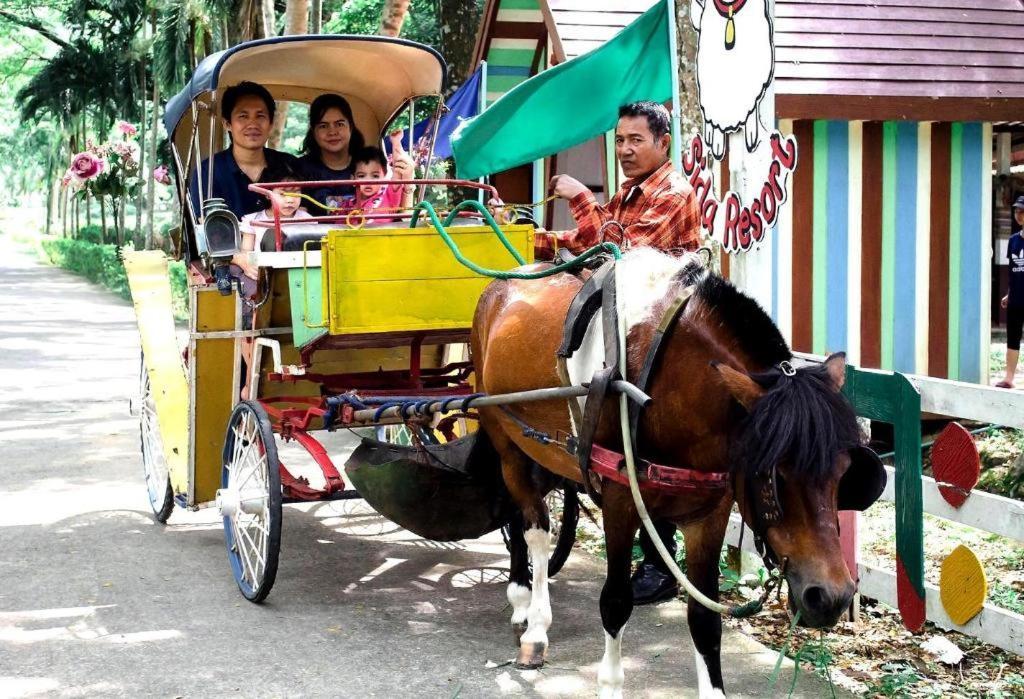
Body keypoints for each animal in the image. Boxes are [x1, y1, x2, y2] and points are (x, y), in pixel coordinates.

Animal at [468, 248, 884, 695]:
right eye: (776, 474)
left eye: (844, 473)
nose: (833, 596)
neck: (670, 382)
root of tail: (501, 285)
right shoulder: (619, 497)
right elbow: (615, 602)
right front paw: (610, 683)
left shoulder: (710, 513)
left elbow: (704, 619)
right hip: (504, 437)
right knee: (531, 527)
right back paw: (529, 614)